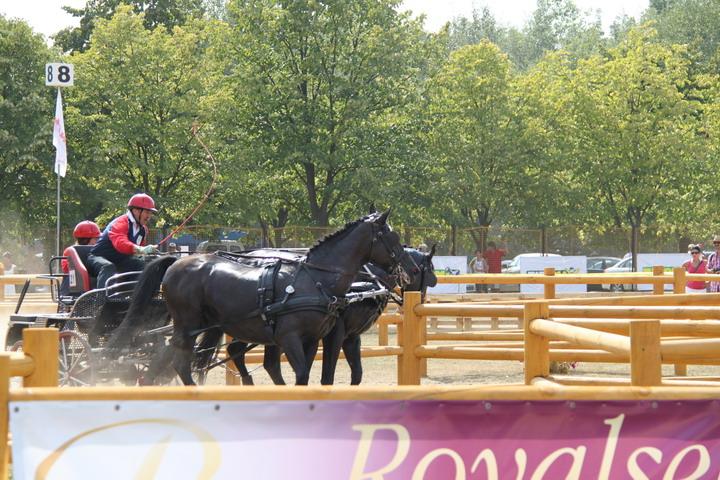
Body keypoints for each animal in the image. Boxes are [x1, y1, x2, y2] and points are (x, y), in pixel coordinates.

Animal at [226, 245, 437, 386]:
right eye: (427, 275)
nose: (421, 299)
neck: (366, 279)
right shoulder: (335, 332)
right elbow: (328, 375)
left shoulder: (352, 336)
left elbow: (357, 373)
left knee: (256, 358)